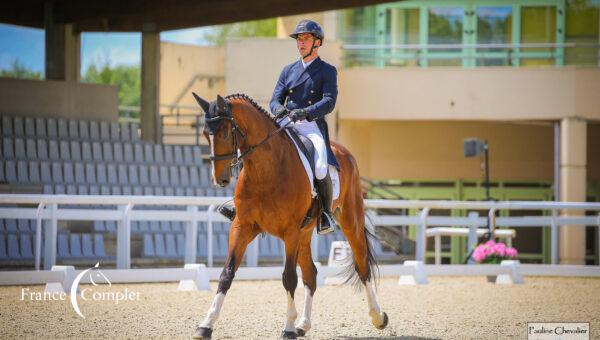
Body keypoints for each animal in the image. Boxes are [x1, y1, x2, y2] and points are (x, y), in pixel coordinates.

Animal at [192, 93, 390, 340]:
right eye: (204, 134)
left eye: (225, 132)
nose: (219, 179)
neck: (265, 171)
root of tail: (344, 152)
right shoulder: (242, 226)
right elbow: (227, 273)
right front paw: (205, 325)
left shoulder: (291, 231)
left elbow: (288, 277)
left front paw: (287, 328)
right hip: (306, 233)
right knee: (311, 275)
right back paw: (303, 324)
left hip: (349, 221)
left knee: (362, 266)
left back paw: (378, 317)